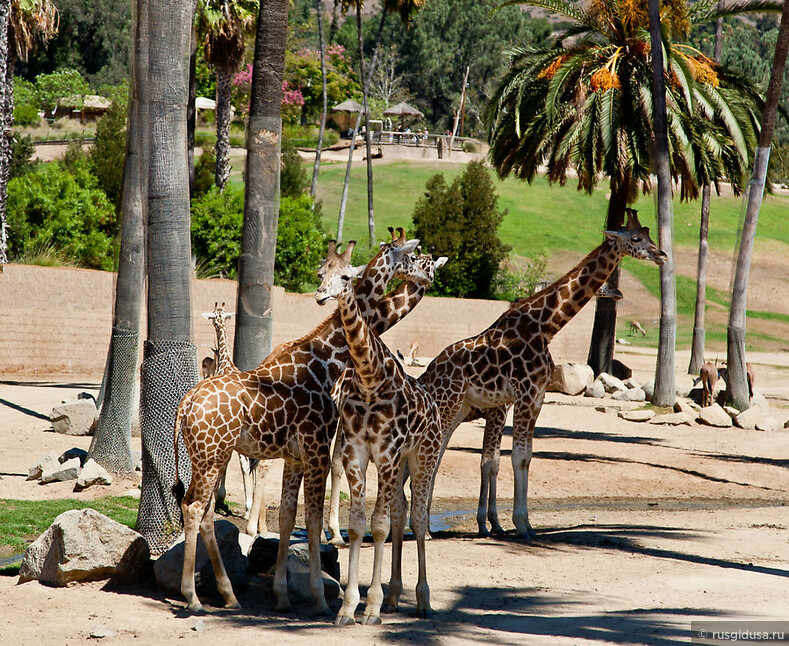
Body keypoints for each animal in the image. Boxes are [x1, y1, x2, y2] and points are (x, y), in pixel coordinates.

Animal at [320, 249, 444, 628]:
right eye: (321, 272)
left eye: (346, 276)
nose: (321, 294)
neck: (369, 378)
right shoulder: (357, 452)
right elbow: (360, 525)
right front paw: (348, 607)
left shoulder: (387, 454)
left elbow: (379, 525)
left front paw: (370, 606)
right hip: (398, 461)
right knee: (402, 513)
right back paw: (394, 597)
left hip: (423, 457)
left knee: (417, 519)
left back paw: (421, 600)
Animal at [418, 210, 664, 540]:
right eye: (636, 239)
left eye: (650, 235)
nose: (661, 255)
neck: (545, 326)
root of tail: (427, 375)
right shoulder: (522, 395)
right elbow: (512, 457)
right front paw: (519, 523)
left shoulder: (536, 397)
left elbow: (525, 456)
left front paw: (517, 524)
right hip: (447, 406)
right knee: (429, 455)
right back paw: (420, 528)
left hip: (457, 410)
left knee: (434, 454)